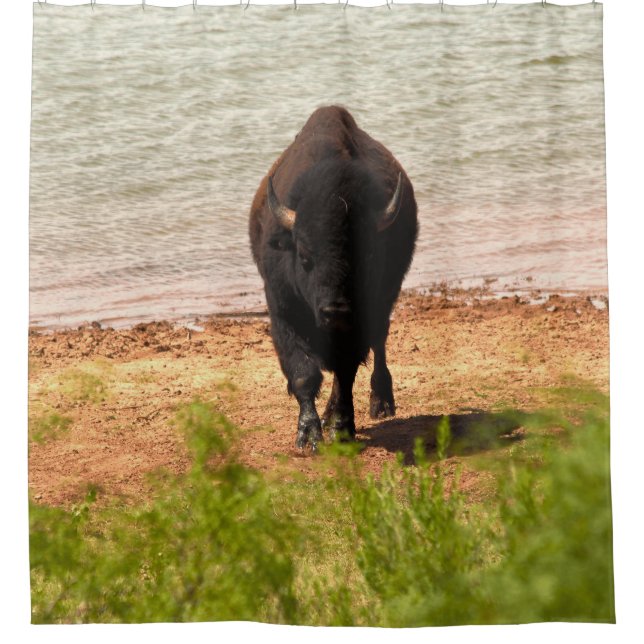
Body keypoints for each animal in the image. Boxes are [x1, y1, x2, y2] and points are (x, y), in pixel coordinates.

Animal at [249, 106, 418, 450]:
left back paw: (381, 402)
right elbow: (304, 373)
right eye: (304, 256)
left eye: (366, 256)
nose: (335, 310)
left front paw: (340, 428)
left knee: (379, 344)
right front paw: (308, 435)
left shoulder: (358, 324)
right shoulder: (283, 314)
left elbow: (345, 371)